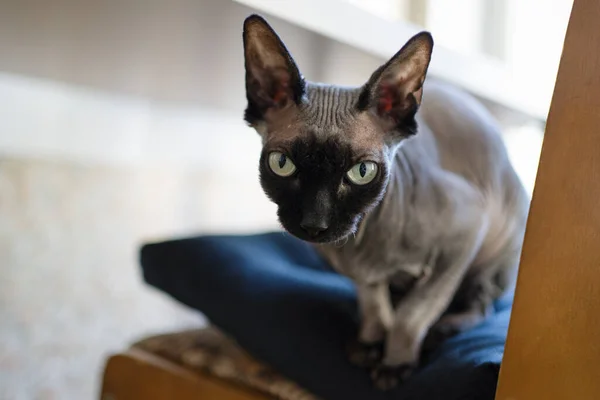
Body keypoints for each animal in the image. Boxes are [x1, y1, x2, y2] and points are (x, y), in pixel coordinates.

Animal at [240, 14, 528, 390]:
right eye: (282, 164)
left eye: (362, 171)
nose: (314, 224)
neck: (362, 247)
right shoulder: (363, 276)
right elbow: (374, 304)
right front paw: (370, 343)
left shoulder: (467, 231)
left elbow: (413, 313)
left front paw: (395, 362)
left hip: (494, 254)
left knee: (480, 305)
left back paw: (441, 331)